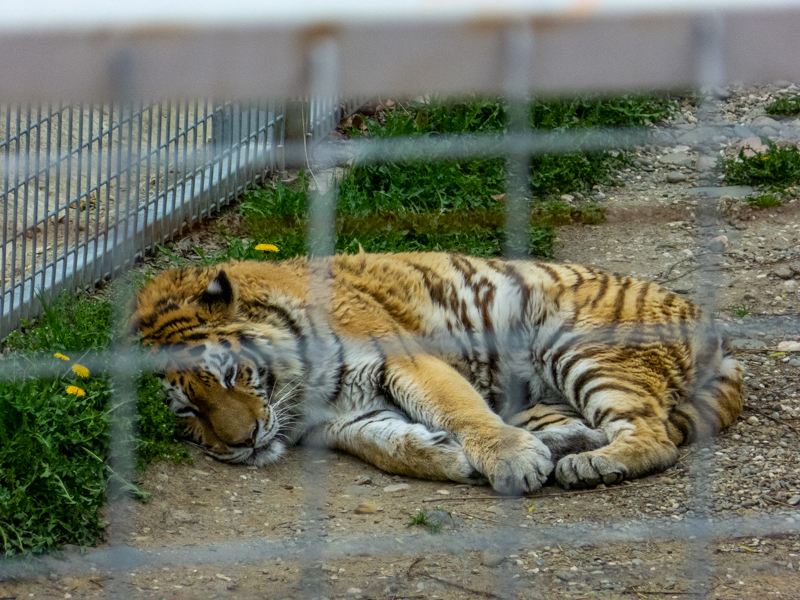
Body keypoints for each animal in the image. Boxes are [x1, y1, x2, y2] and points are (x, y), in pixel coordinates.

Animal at [129, 251, 743, 495]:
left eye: (231, 375)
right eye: (188, 411)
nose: (245, 441)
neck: (298, 399)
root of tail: (709, 322)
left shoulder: (403, 358)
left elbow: (459, 408)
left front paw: (509, 460)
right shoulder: (346, 420)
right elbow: (396, 448)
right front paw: (456, 460)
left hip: (578, 346)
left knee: (655, 435)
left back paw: (588, 466)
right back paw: (562, 446)